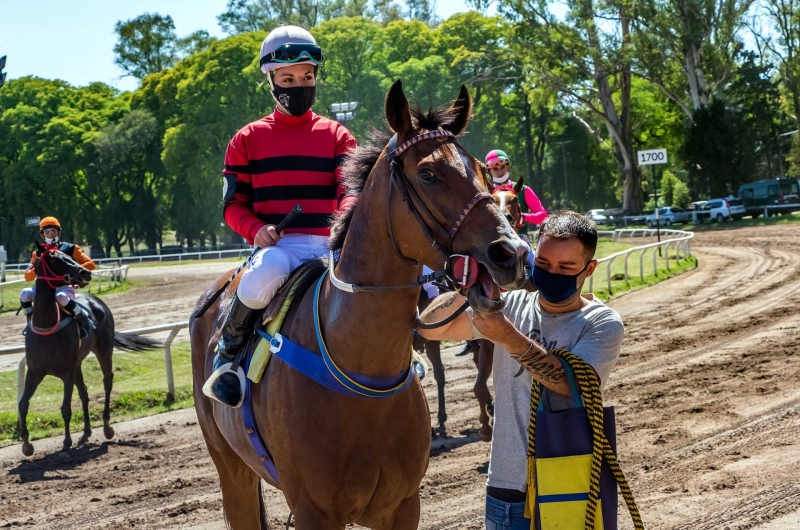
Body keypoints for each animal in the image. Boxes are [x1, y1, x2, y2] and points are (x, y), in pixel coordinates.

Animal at [19, 241, 161, 456]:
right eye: (55, 258)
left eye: (67, 255)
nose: (84, 272)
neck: (47, 325)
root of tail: (98, 302)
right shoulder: (35, 371)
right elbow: (23, 404)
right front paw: (27, 446)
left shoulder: (66, 372)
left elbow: (65, 408)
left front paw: (66, 444)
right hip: (77, 363)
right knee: (84, 392)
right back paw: (86, 433)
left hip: (104, 351)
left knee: (107, 381)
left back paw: (107, 427)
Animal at [188, 79, 524, 528]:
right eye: (428, 173)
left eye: (483, 172)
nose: (511, 253)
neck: (362, 372)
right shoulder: (313, 510)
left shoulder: (403, 505)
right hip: (231, 469)